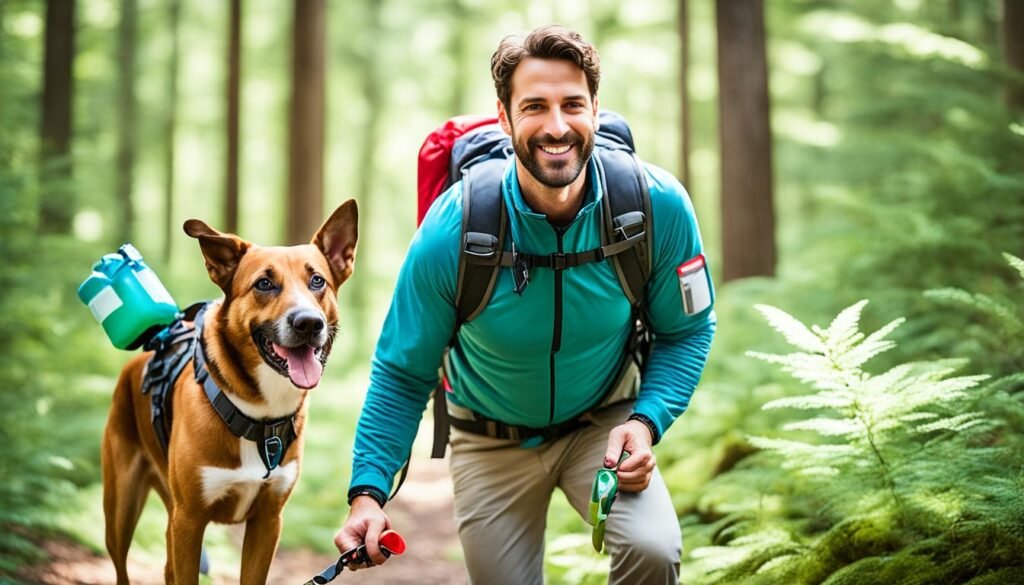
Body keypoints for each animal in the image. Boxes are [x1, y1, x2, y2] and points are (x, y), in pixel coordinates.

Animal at [102, 201, 360, 585]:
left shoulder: (267, 521)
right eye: (264, 284)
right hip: (121, 510)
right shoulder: (189, 521)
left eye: (317, 281)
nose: (308, 323)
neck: (259, 413)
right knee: (121, 565)